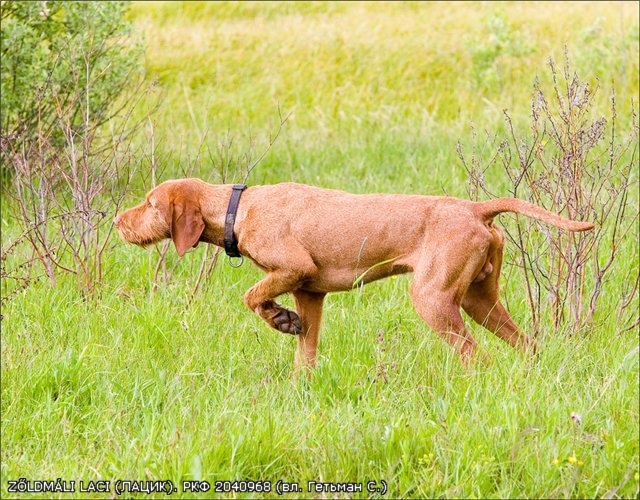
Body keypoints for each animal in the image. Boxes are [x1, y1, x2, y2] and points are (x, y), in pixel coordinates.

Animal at [115, 179, 596, 372]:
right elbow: (304, 356)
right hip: (480, 300)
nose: (117, 221)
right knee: (528, 346)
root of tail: (476, 208)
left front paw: (278, 318)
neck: (238, 208)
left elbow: (252, 295)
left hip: (434, 299)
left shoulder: (295, 268)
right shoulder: (310, 292)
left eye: (149, 204)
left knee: (477, 357)